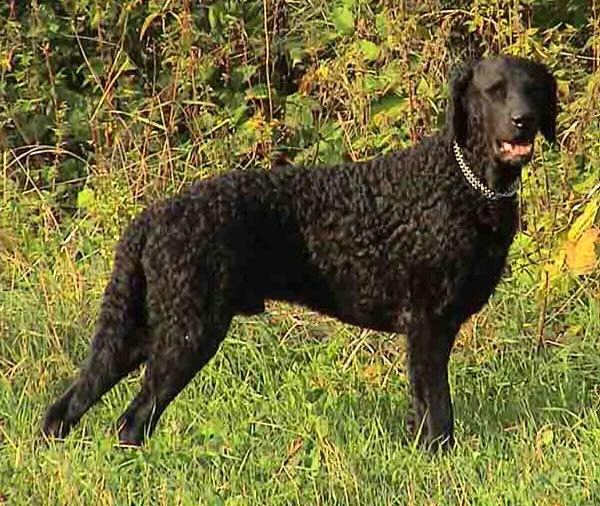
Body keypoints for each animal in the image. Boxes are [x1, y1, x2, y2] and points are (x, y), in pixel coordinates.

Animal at [42, 57, 556, 448]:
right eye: (493, 91)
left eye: (533, 90)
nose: (524, 121)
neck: (464, 184)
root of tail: (152, 216)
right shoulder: (428, 323)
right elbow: (438, 408)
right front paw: (438, 458)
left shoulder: (433, 328)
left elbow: (426, 406)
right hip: (186, 332)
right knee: (131, 420)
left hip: (144, 328)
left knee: (71, 403)